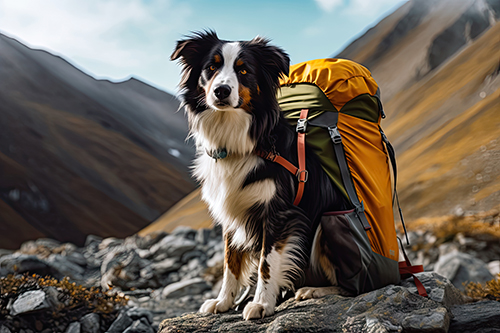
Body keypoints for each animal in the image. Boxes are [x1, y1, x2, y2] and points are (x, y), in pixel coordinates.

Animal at [170, 31, 350, 320]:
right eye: (211, 67)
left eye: (244, 70)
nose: (221, 91)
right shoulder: (231, 213)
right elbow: (230, 262)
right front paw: (223, 301)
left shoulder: (278, 213)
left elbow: (267, 262)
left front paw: (262, 304)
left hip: (327, 225)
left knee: (355, 286)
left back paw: (313, 290)